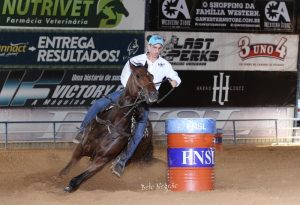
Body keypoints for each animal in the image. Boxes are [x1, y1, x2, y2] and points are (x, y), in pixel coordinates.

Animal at [58, 61, 159, 193]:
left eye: (152, 76)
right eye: (137, 75)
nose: (153, 94)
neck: (111, 125)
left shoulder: (102, 159)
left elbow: (80, 177)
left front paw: (69, 186)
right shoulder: (81, 147)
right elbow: (68, 167)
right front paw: (59, 177)